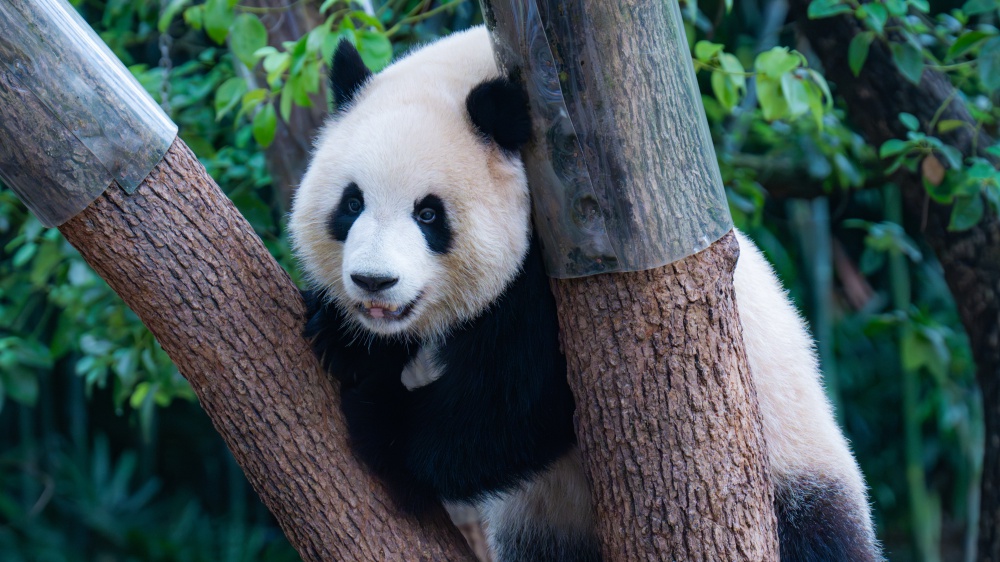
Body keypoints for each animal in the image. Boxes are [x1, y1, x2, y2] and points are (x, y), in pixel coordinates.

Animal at [288, 24, 876, 556]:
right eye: (351, 203)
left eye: (429, 214)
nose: (373, 282)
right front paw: (343, 339)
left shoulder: (563, 264)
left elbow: (523, 395)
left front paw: (381, 419)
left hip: (795, 461)